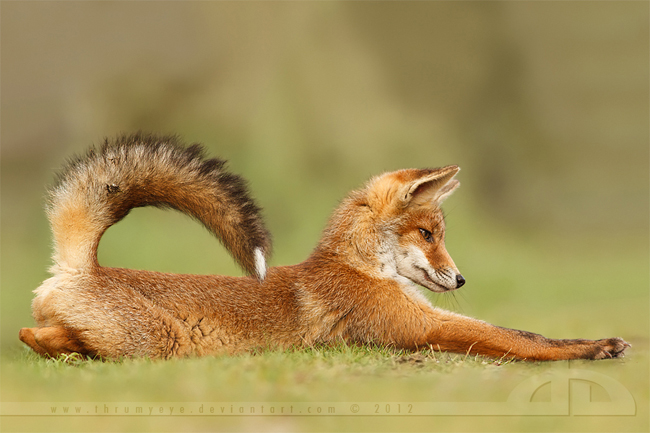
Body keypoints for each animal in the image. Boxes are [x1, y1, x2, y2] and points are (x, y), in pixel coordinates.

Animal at [19, 133, 629, 361]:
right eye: (427, 234)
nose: (460, 280)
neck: (359, 270)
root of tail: (84, 267)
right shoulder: (420, 327)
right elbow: (521, 337)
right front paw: (594, 347)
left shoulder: (422, 319)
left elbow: (520, 331)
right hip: (155, 344)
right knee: (38, 336)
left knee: (37, 334)